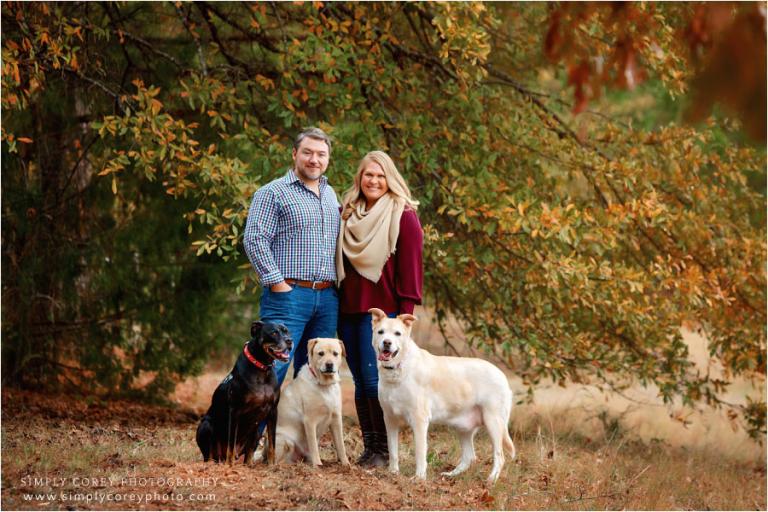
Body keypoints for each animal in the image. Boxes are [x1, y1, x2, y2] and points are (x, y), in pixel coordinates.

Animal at [196, 322, 292, 466]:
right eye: (274, 333)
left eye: (287, 331)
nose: (289, 341)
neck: (262, 369)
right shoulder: (235, 411)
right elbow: (230, 445)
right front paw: (229, 466)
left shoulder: (273, 411)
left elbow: (272, 443)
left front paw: (271, 465)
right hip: (205, 426)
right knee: (210, 454)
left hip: (256, 432)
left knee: (249, 452)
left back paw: (249, 465)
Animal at [274, 338, 350, 466]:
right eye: (321, 353)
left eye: (335, 353)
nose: (329, 364)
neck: (325, 385)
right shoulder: (310, 420)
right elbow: (313, 445)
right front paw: (317, 464)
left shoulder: (336, 419)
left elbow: (341, 445)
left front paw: (345, 463)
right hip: (285, 440)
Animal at [370, 308, 516, 484]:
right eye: (381, 332)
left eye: (397, 333)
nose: (387, 343)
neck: (398, 369)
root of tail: (501, 375)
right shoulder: (389, 418)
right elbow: (393, 450)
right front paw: (393, 473)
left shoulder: (419, 420)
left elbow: (420, 453)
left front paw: (419, 478)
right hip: (463, 427)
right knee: (469, 456)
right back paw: (451, 475)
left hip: (493, 422)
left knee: (499, 456)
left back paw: (491, 480)